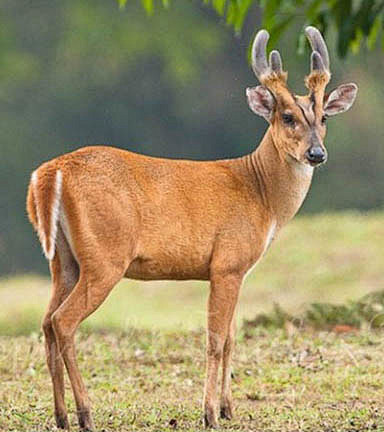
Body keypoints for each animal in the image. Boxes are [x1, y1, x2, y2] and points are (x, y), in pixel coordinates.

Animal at [26, 26, 356, 428]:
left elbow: (231, 338)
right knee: (63, 322)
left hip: (63, 260)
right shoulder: (227, 262)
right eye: (287, 117)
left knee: (46, 322)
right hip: (105, 257)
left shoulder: (238, 270)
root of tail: (51, 173)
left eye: (323, 117)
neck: (259, 191)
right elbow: (214, 339)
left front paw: (229, 409)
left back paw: (61, 416)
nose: (316, 153)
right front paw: (210, 413)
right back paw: (86, 414)